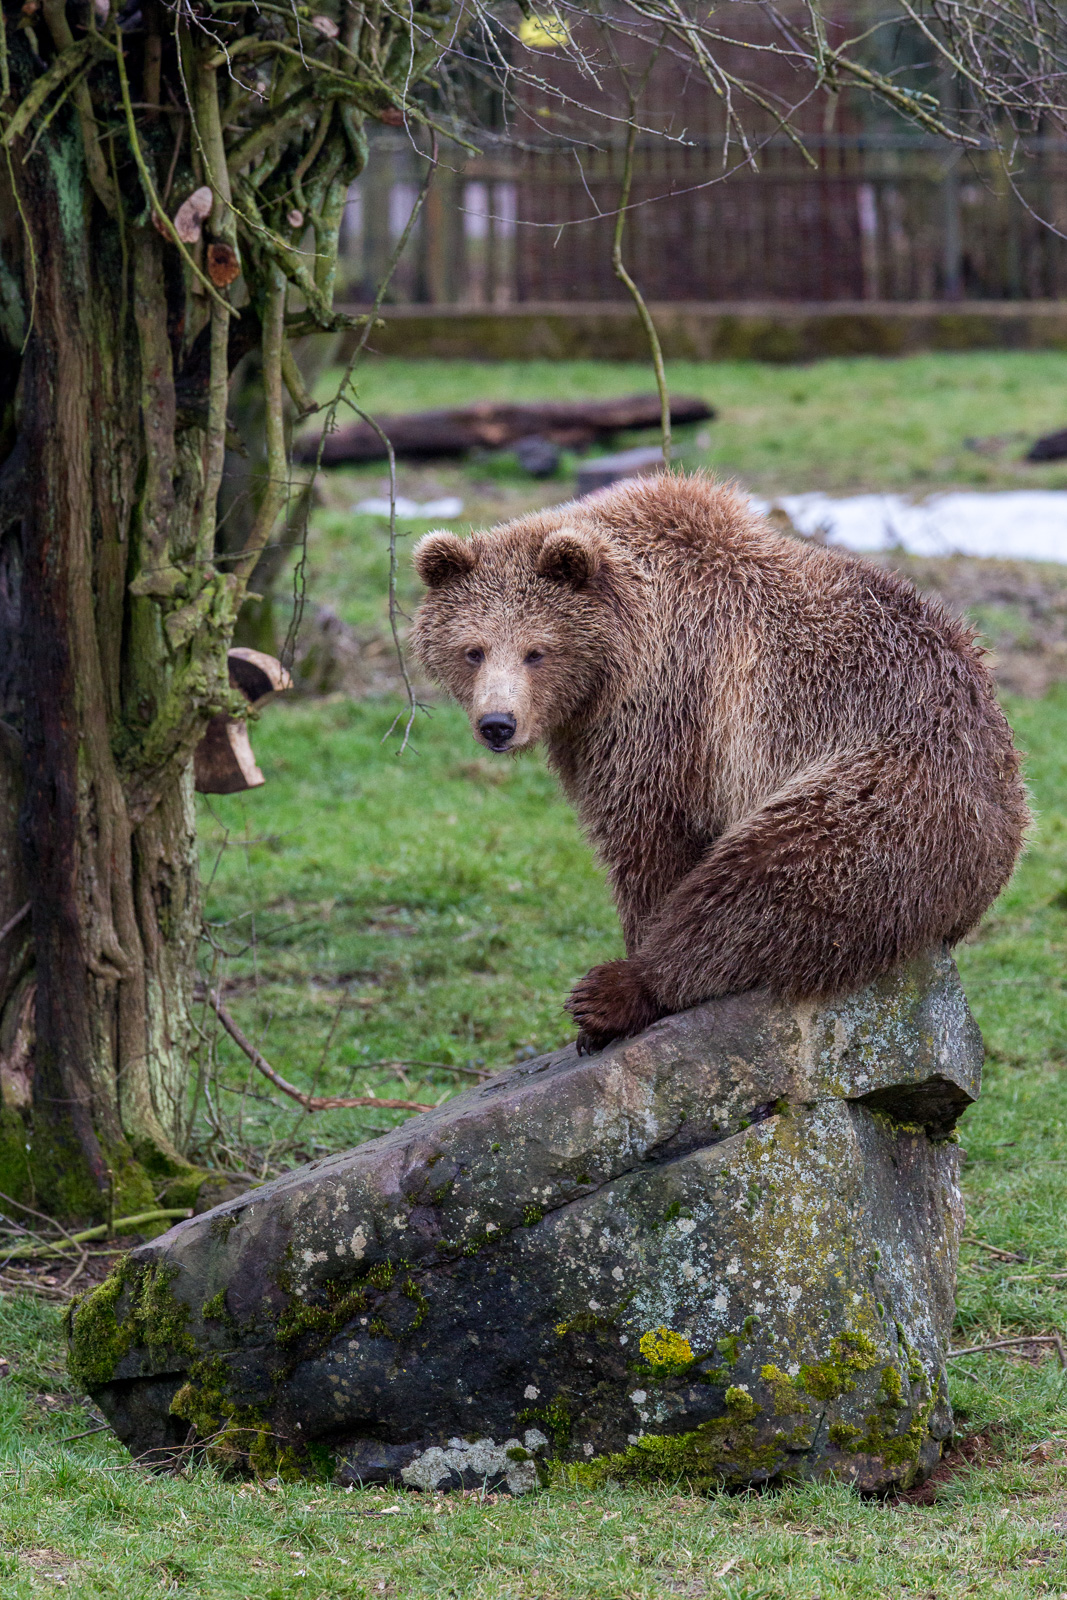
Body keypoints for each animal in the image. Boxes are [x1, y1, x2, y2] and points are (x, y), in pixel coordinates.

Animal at [411, 472, 1028, 1053]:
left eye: (537, 651)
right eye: (473, 649)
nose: (498, 723)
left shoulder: (666, 708)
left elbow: (649, 841)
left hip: (885, 793)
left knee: (770, 878)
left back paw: (613, 993)